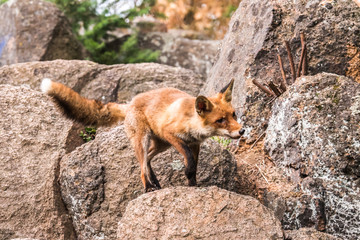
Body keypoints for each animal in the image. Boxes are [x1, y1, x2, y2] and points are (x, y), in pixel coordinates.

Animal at [41, 78, 245, 192]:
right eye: (220, 120)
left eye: (233, 114)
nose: (242, 131)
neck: (192, 121)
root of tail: (130, 103)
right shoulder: (170, 133)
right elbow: (188, 159)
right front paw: (188, 177)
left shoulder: (195, 143)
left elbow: (194, 165)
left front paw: (193, 185)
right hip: (145, 140)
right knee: (141, 168)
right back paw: (148, 187)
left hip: (161, 145)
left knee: (147, 161)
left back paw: (155, 183)